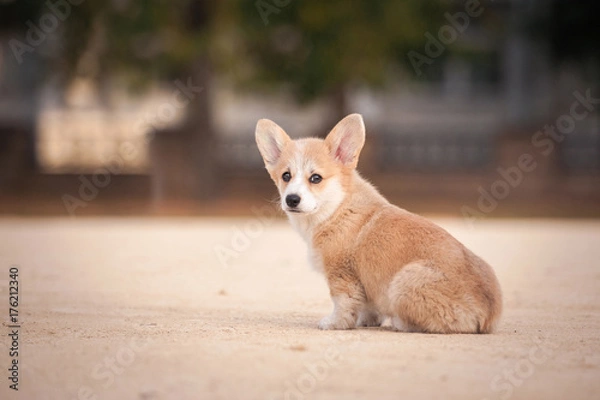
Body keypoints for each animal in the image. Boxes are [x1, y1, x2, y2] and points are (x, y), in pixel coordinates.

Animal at [255, 114, 504, 332]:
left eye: (315, 178)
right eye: (286, 176)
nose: (291, 199)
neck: (337, 208)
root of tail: (489, 313)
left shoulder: (341, 275)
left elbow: (343, 304)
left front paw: (334, 323)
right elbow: (367, 306)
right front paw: (367, 321)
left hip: (403, 281)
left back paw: (400, 323)